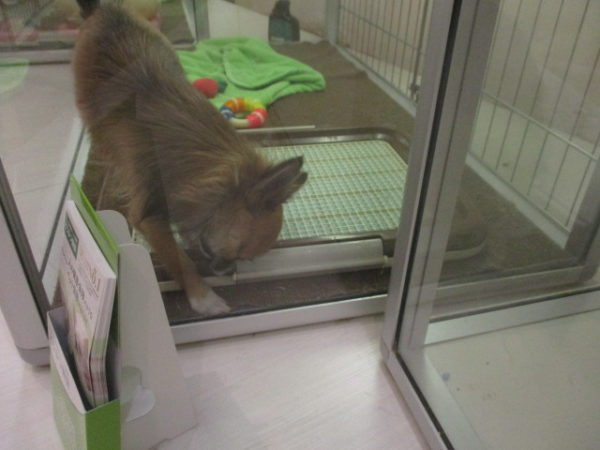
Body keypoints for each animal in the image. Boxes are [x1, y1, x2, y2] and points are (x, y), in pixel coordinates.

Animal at [73, 0, 306, 315]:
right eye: (239, 253)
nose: (224, 270)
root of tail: (103, 9)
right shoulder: (149, 216)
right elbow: (179, 259)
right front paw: (203, 297)